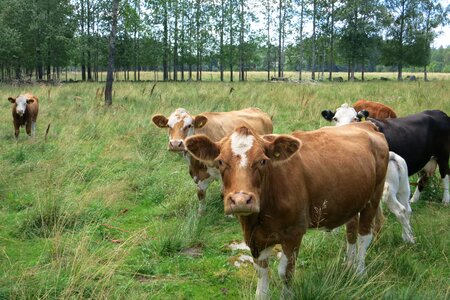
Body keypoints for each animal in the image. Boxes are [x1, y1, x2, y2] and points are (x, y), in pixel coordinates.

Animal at [185, 122, 388, 298]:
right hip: (353, 200)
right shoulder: (256, 238)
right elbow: (261, 270)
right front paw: (262, 294)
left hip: (373, 197)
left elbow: (286, 272)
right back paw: (349, 264)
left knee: (364, 236)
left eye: (262, 161)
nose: (241, 200)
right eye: (220, 161)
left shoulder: (294, 233)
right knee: (351, 231)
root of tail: (365, 124)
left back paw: (359, 272)